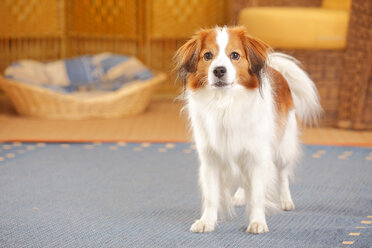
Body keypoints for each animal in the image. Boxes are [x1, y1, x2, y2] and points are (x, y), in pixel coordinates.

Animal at [173, 27, 322, 234]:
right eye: (207, 56)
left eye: (235, 55)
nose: (219, 70)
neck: (225, 103)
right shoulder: (210, 158)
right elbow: (211, 195)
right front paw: (207, 221)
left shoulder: (257, 157)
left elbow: (258, 194)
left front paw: (257, 222)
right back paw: (240, 196)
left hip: (282, 148)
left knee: (283, 175)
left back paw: (286, 200)